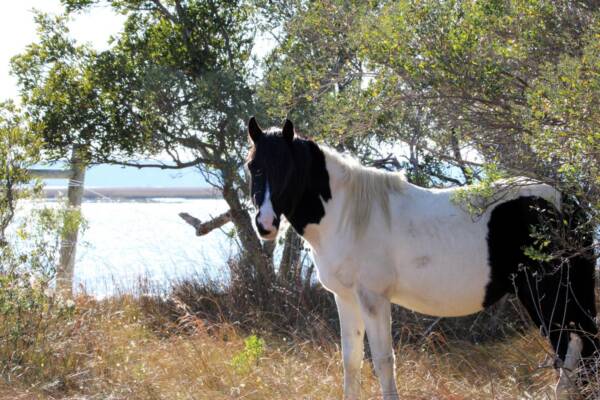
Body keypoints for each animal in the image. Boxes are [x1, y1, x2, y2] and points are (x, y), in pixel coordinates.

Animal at [246, 117, 596, 398]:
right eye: (253, 166)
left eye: (287, 167)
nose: (265, 224)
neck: (348, 215)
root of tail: (567, 203)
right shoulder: (345, 298)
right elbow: (352, 362)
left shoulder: (373, 298)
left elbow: (383, 361)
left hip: (548, 296)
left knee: (573, 352)